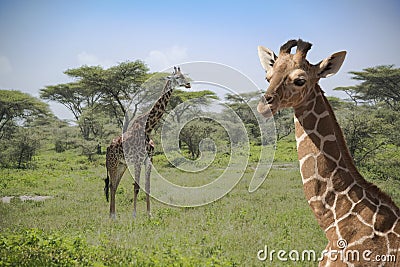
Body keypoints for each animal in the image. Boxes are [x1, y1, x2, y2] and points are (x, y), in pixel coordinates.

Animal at [103, 67, 191, 220]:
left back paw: (113, 215)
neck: (148, 128)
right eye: (177, 77)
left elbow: (148, 186)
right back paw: (112, 216)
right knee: (111, 185)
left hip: (122, 165)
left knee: (114, 186)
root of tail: (108, 148)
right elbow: (136, 187)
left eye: (184, 75)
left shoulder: (149, 160)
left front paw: (149, 214)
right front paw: (134, 215)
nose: (188, 84)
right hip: (112, 164)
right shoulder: (138, 160)